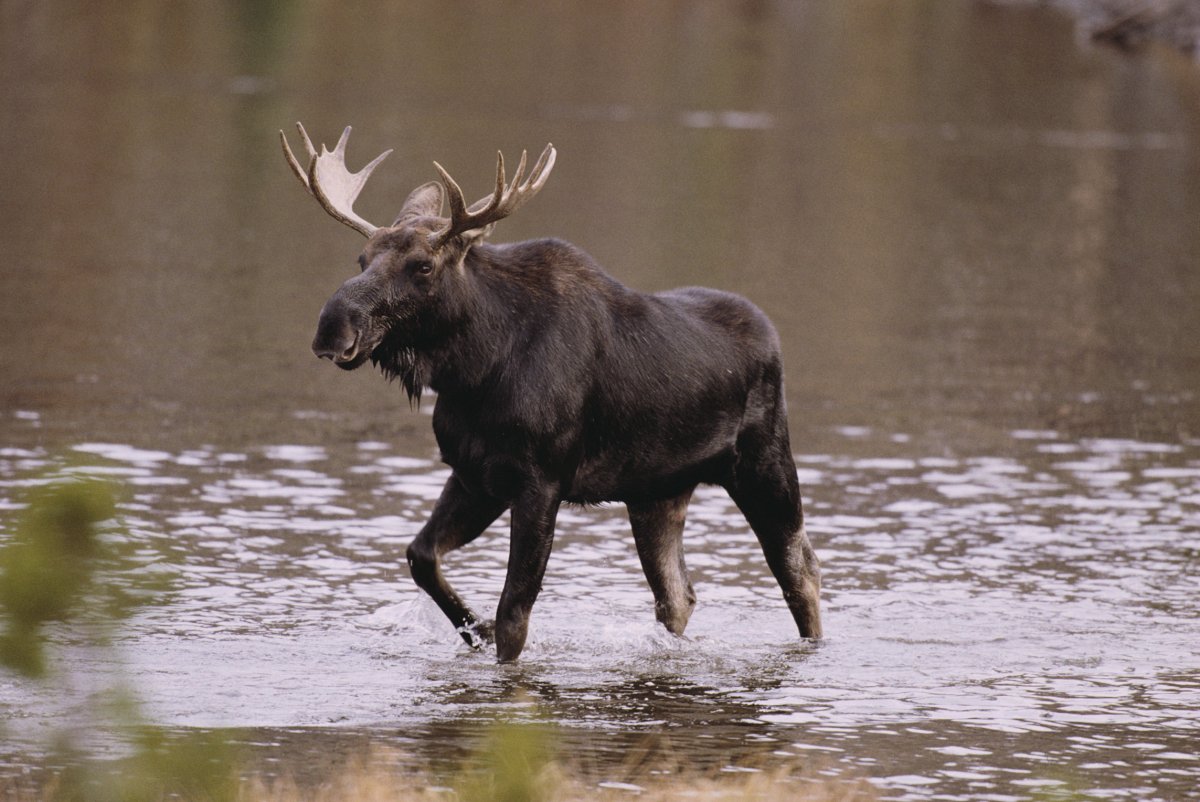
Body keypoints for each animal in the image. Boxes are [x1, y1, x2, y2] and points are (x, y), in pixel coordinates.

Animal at [280, 123, 822, 662]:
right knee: (678, 594)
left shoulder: (541, 481)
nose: (332, 328)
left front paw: (490, 635)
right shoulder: (474, 474)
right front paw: (473, 629)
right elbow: (421, 556)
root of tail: (771, 336)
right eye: (362, 258)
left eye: (423, 266)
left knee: (800, 571)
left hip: (764, 464)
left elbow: (514, 616)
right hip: (657, 492)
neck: (473, 369)